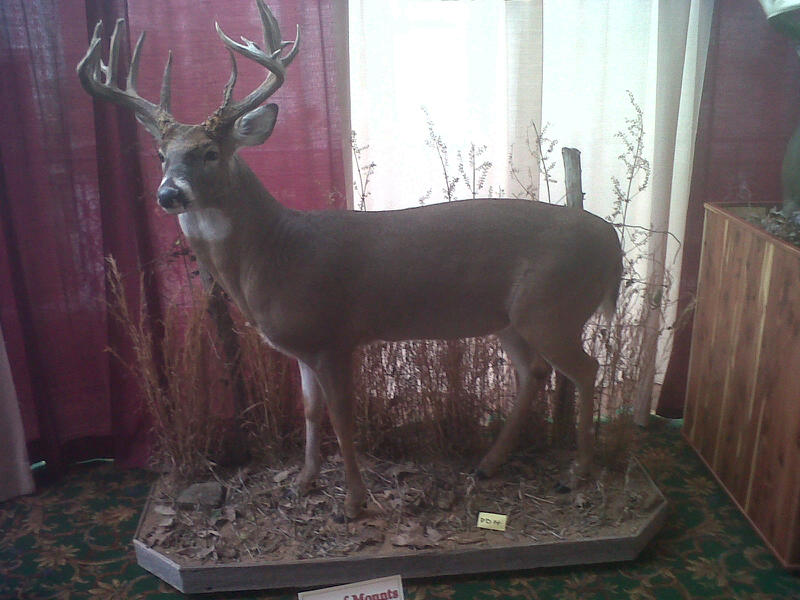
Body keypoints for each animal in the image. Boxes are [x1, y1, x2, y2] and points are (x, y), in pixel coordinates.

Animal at [78, 0, 623, 519]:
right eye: (161, 154)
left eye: (210, 152)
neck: (275, 254)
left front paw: (353, 503)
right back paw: (489, 464)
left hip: (553, 307)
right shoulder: (300, 346)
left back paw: (578, 472)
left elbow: (342, 417)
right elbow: (309, 412)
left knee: (586, 369)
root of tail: (611, 240)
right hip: (510, 319)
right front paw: (302, 483)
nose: (169, 193)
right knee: (535, 373)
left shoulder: (333, 336)